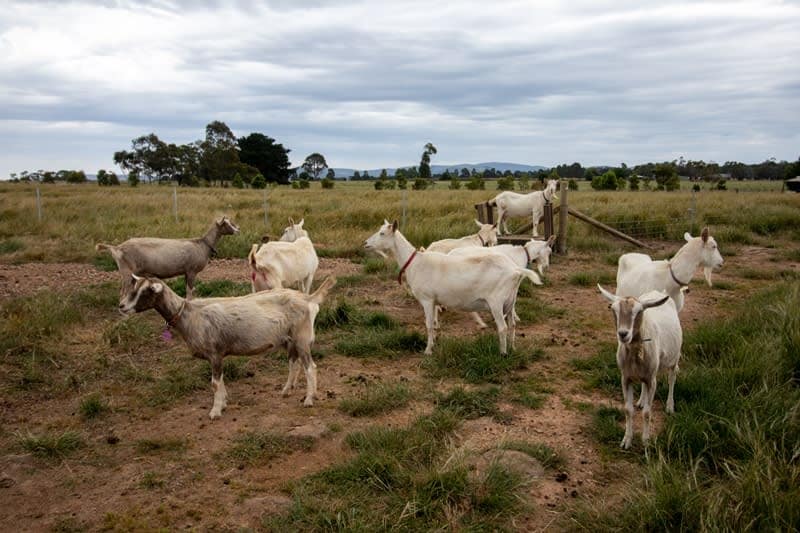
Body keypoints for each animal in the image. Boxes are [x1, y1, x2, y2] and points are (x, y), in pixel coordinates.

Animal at [96, 216, 239, 299]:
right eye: (226, 223)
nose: (238, 230)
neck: (203, 244)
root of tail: (117, 247)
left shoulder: (186, 271)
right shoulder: (191, 271)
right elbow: (189, 291)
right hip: (126, 271)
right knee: (122, 292)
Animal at [118, 274, 336, 418]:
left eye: (144, 291)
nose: (121, 306)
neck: (188, 314)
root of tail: (308, 298)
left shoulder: (214, 352)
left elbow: (214, 383)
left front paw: (214, 411)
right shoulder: (217, 355)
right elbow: (220, 381)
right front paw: (222, 404)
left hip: (302, 337)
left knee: (310, 367)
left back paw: (309, 399)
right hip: (289, 339)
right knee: (294, 363)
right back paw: (286, 390)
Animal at [364, 220, 542, 355]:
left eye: (382, 233)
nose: (365, 243)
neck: (416, 262)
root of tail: (515, 270)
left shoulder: (427, 299)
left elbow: (428, 325)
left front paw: (428, 350)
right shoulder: (434, 301)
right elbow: (434, 324)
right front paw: (434, 343)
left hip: (496, 302)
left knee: (503, 328)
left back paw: (502, 353)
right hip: (510, 301)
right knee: (512, 325)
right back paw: (512, 348)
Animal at [598, 285, 682, 450]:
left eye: (639, 311)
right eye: (613, 309)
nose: (623, 334)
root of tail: (659, 292)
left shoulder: (652, 380)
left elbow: (647, 413)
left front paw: (646, 442)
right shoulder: (625, 378)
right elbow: (628, 410)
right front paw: (626, 440)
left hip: (674, 357)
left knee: (672, 378)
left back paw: (670, 406)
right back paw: (641, 401)